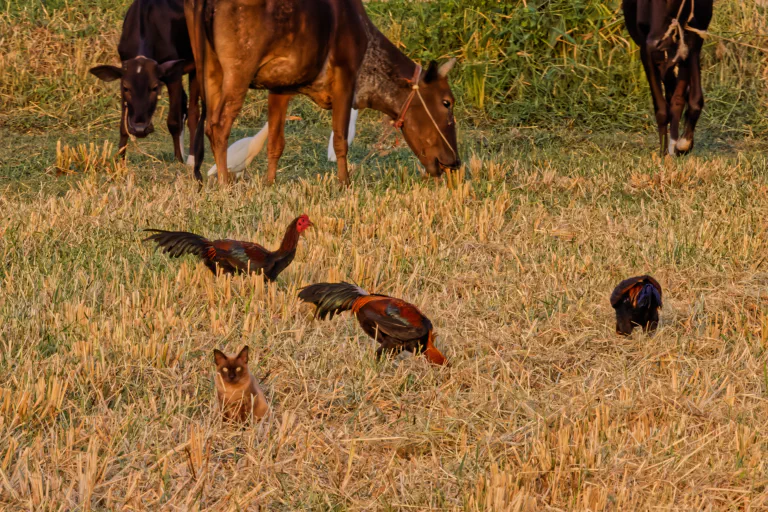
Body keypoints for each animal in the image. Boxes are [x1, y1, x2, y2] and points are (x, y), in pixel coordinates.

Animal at [90, 0, 201, 172]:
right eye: (126, 88)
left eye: (155, 88)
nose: (140, 129)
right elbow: (123, 126)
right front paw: (120, 160)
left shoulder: (174, 73)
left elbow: (174, 121)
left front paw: (178, 160)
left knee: (193, 111)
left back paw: (191, 159)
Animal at [186, 0, 462, 186]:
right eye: (447, 102)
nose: (455, 162)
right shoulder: (345, 80)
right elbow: (340, 140)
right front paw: (345, 183)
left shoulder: (280, 88)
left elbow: (275, 142)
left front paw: (270, 182)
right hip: (238, 73)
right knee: (219, 125)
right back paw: (224, 182)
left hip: (209, 70)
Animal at [624, 0, 712, 156]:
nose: (654, 42)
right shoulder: (646, 51)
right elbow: (661, 108)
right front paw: (663, 153)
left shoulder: (693, 44)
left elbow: (693, 100)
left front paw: (684, 143)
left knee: (676, 96)